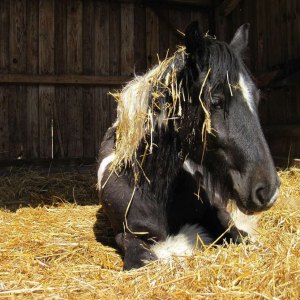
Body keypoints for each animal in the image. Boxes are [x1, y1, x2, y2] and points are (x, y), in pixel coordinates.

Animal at [97, 21, 280, 270]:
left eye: (257, 98)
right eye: (216, 101)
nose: (268, 191)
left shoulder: (218, 212)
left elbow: (238, 235)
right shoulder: (127, 235)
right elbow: (142, 258)